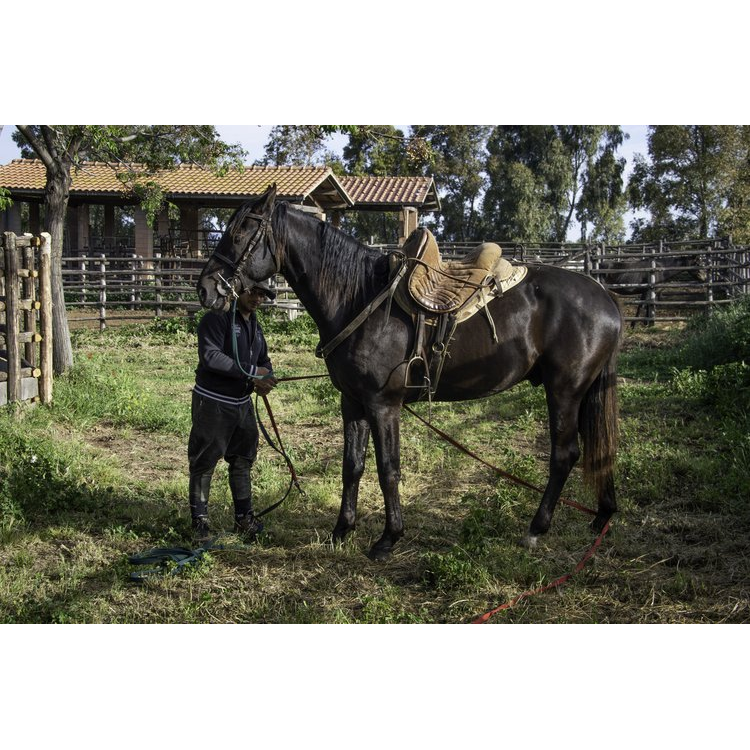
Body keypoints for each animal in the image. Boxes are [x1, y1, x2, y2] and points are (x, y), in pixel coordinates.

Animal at [197, 187, 624, 560]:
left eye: (240, 232)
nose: (205, 289)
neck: (359, 297)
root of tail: (605, 296)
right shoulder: (352, 401)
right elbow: (352, 466)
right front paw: (341, 531)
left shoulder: (383, 405)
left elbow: (388, 469)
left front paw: (388, 539)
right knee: (600, 449)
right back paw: (602, 515)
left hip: (564, 390)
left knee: (565, 454)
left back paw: (536, 529)